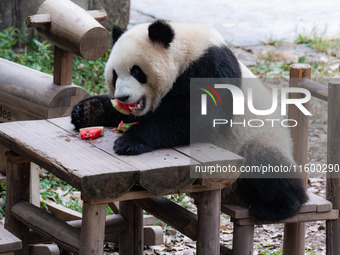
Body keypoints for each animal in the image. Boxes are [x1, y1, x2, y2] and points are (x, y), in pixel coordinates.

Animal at [71, 19, 308, 221]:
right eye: (114, 75)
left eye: (137, 71)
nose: (122, 97)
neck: (186, 51)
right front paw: (85, 111)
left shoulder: (211, 68)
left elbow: (193, 119)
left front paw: (129, 142)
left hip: (258, 140)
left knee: (265, 162)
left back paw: (278, 206)